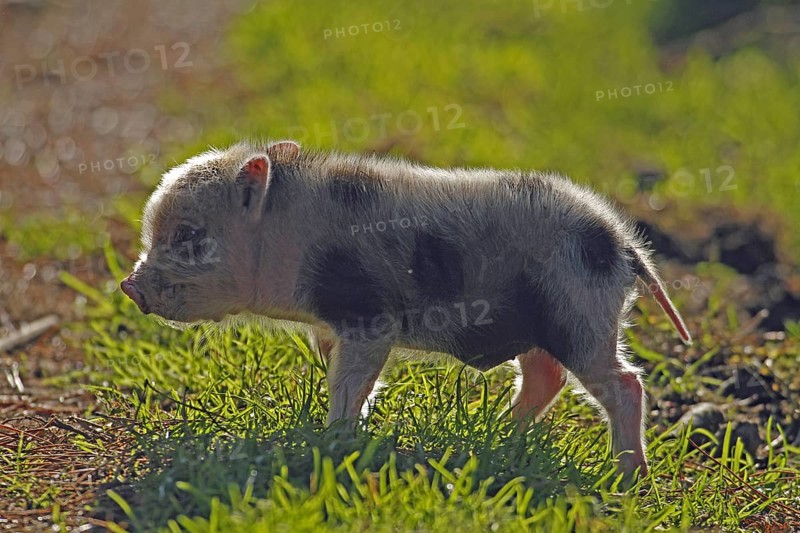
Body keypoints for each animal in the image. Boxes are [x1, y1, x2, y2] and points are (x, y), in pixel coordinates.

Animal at [120, 140, 692, 477]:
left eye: (187, 236)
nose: (129, 285)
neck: (289, 238)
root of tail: (625, 247)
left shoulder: (370, 317)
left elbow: (352, 382)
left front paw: (334, 439)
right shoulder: (334, 325)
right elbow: (338, 371)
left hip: (580, 318)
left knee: (624, 382)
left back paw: (627, 478)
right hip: (546, 328)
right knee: (545, 377)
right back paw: (499, 440)